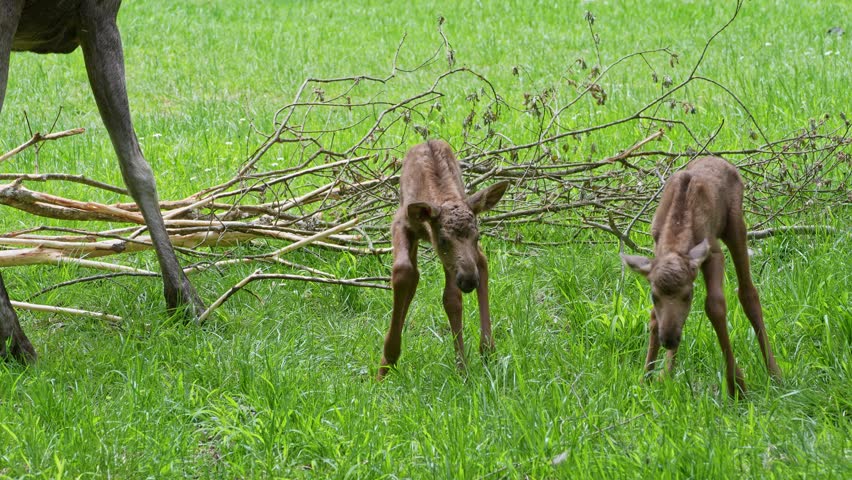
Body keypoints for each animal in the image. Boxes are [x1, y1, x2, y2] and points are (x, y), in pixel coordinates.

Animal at [377, 140, 509, 381]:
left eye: (477, 236)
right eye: (444, 240)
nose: (469, 280)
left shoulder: (454, 262)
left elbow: (451, 298)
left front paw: (462, 367)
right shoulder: (401, 221)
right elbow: (403, 272)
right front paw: (387, 362)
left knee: (481, 260)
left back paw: (487, 349)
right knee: (415, 275)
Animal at [621, 156, 782, 397]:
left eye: (688, 295)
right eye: (653, 296)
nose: (669, 339)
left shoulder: (713, 253)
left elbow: (714, 307)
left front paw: (736, 385)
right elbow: (653, 317)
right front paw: (647, 378)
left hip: (736, 225)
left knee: (748, 292)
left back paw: (775, 373)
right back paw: (665, 373)